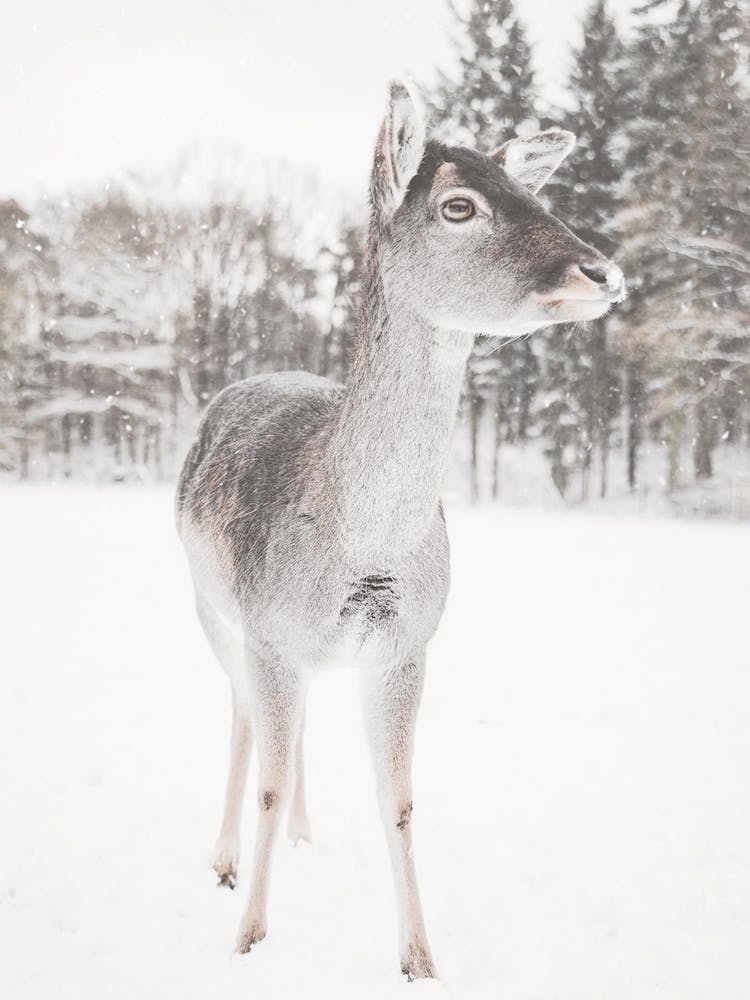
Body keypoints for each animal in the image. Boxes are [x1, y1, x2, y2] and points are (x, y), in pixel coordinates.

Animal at [175, 80, 625, 980]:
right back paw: (225, 859)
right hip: (209, 606)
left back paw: (304, 834)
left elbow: (401, 798)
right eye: (459, 205)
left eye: (535, 191)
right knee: (242, 714)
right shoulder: (270, 632)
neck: (365, 551)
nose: (602, 270)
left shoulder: (408, 643)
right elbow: (268, 776)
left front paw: (420, 957)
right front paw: (249, 938)